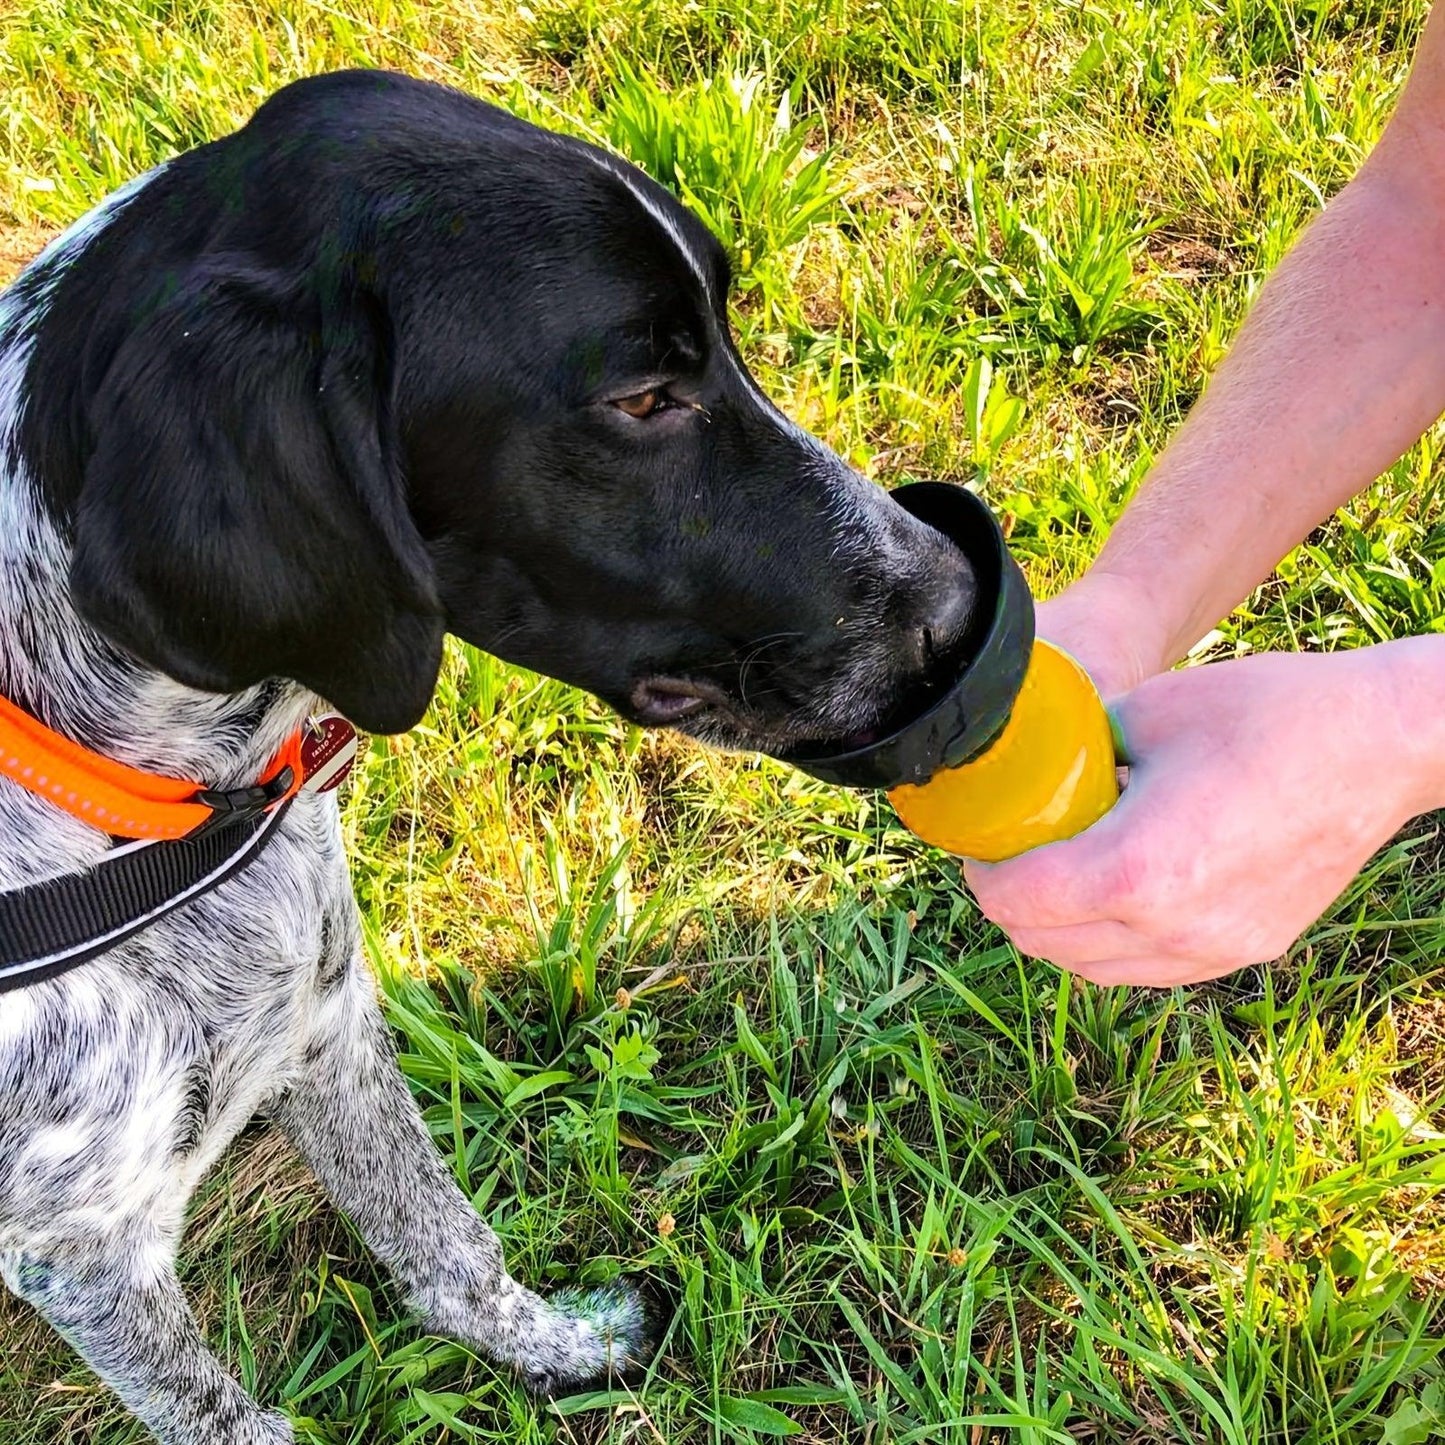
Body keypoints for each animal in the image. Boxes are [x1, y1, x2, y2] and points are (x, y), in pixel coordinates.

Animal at [0, 70, 971, 1445]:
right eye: (641, 398)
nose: (958, 600)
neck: (175, 809)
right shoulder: (86, 1248)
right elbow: (227, 1413)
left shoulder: (327, 1027)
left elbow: (445, 1242)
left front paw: (558, 1348)